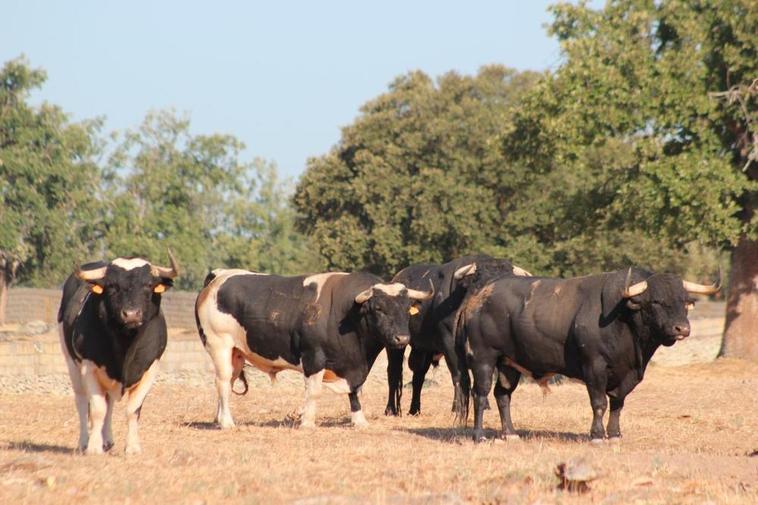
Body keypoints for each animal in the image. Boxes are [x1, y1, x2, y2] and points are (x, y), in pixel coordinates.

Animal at [58, 252, 180, 452]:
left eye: (148, 285)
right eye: (112, 286)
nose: (131, 314)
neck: (125, 346)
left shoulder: (151, 368)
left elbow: (132, 409)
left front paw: (132, 447)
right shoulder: (89, 367)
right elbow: (97, 409)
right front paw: (93, 447)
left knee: (110, 403)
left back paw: (107, 440)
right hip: (71, 363)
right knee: (82, 402)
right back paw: (84, 441)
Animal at [194, 268, 434, 430]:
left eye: (407, 309)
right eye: (378, 308)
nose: (402, 338)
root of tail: (218, 276)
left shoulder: (356, 366)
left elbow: (355, 392)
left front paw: (359, 421)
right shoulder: (314, 358)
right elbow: (314, 392)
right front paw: (307, 422)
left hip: (236, 354)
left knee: (227, 383)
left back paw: (218, 418)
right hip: (220, 346)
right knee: (222, 382)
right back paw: (226, 422)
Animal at [454, 268, 720, 440]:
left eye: (684, 301)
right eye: (656, 301)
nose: (682, 329)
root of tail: (478, 296)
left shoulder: (626, 375)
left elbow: (617, 404)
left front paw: (615, 433)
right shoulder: (595, 367)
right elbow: (599, 402)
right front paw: (597, 434)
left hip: (509, 364)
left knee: (502, 395)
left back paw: (510, 433)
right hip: (483, 359)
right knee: (481, 394)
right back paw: (479, 435)